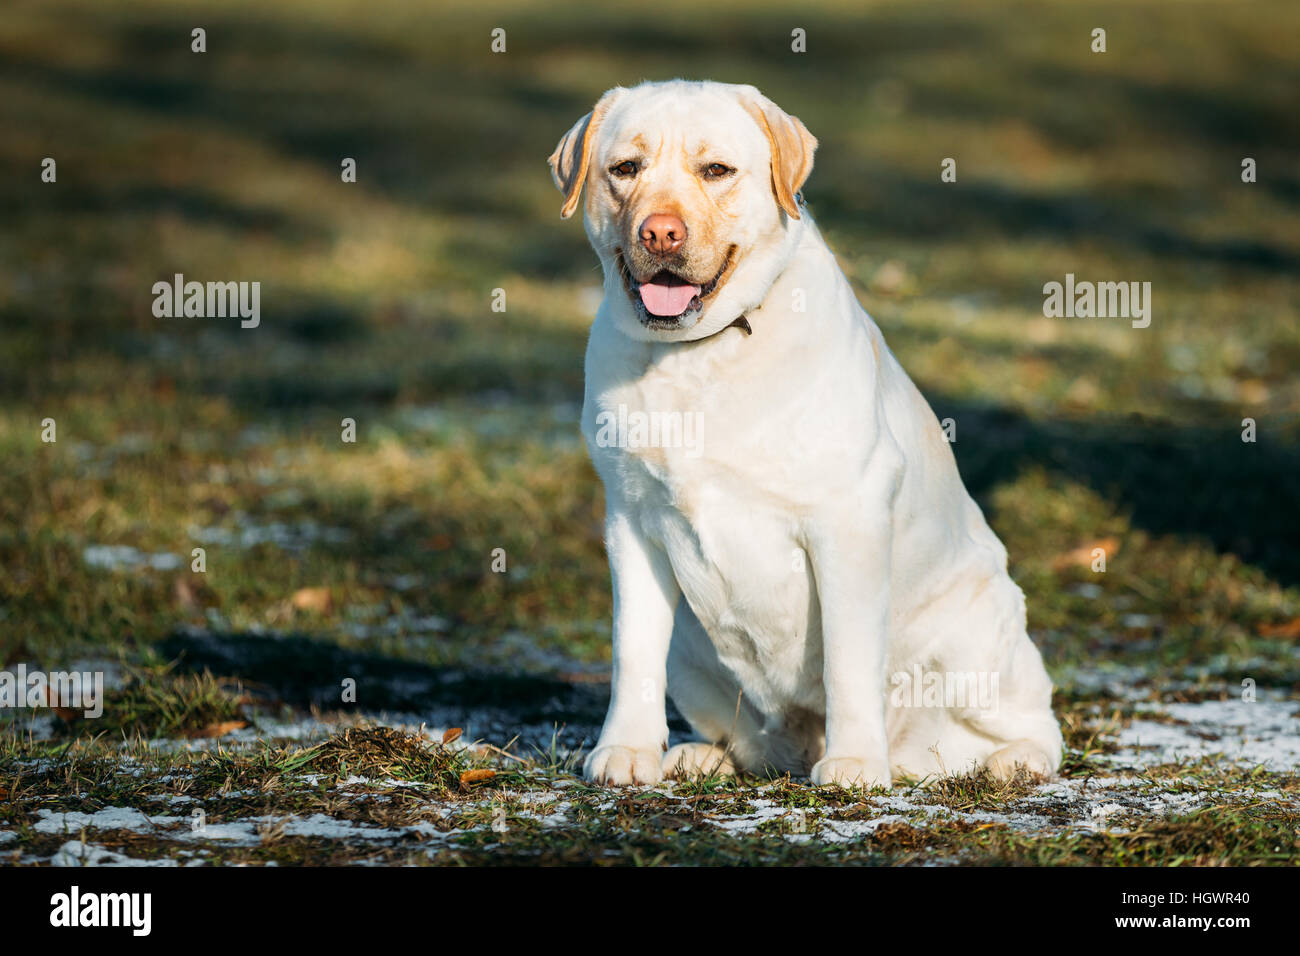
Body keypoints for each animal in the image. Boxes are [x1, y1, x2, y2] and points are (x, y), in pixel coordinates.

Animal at [543, 80, 1060, 785]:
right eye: (625, 169)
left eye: (717, 170)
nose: (661, 232)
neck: (699, 356)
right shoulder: (631, 519)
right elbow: (632, 649)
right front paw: (626, 750)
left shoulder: (847, 519)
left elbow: (848, 659)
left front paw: (854, 763)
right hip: (692, 652)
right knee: (753, 738)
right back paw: (703, 757)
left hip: (976, 634)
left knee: (1032, 725)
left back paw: (1007, 762)